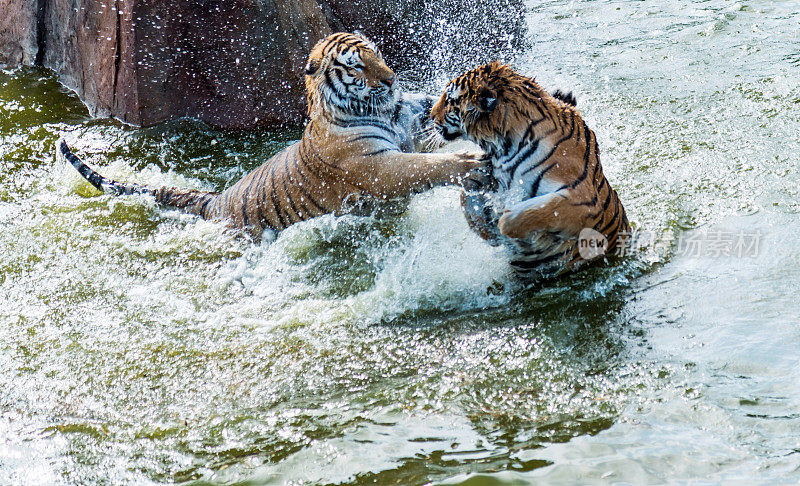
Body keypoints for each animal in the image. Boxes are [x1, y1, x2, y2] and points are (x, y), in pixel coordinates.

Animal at [57, 32, 482, 237]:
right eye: (356, 65)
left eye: (376, 53)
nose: (392, 80)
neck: (380, 110)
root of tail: (216, 200)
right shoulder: (376, 167)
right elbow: (424, 166)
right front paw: (470, 162)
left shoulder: (409, 124)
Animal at [432, 62, 632, 280]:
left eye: (449, 100)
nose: (431, 115)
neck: (503, 147)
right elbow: (466, 197)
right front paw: (487, 227)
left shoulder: (584, 201)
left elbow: (531, 214)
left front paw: (503, 220)